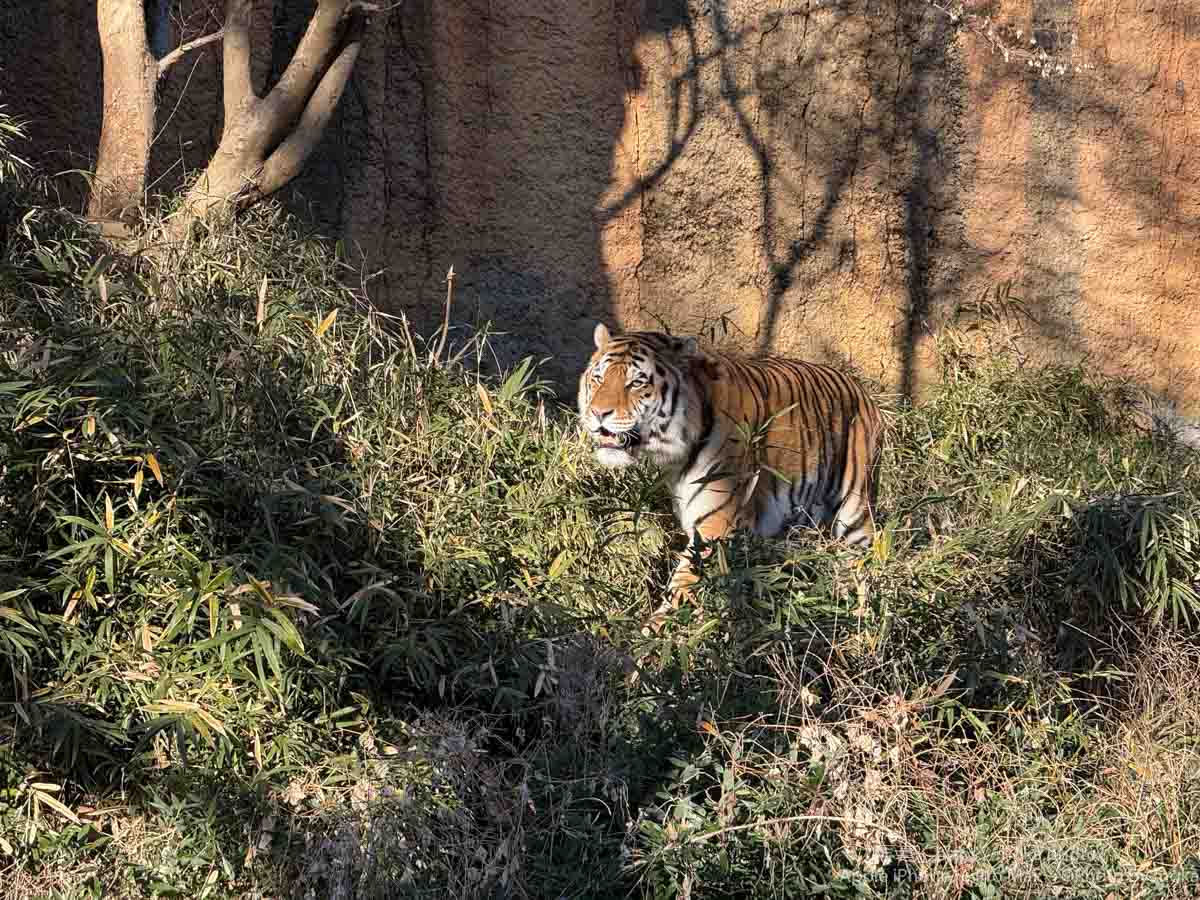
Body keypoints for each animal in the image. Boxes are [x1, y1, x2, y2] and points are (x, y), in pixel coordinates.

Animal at [576, 321, 888, 628]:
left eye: (637, 383)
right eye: (598, 378)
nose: (598, 413)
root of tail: (863, 391)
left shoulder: (716, 524)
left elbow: (683, 585)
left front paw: (657, 633)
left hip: (854, 515)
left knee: (864, 569)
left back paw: (862, 624)